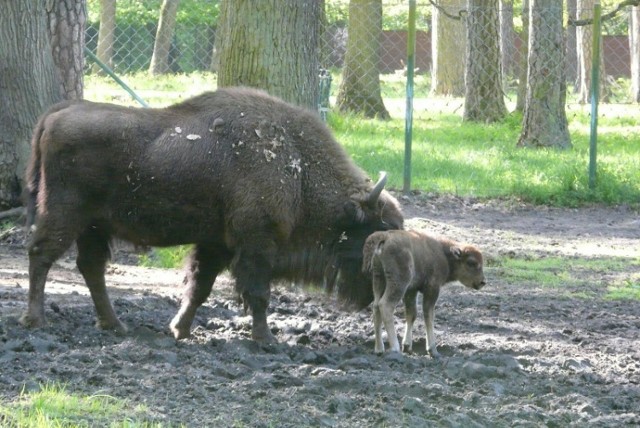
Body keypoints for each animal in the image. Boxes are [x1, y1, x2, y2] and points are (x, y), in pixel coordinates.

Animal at [22, 88, 402, 344]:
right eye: (376, 232)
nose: (380, 295)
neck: (299, 168)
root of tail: (58, 113)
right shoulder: (256, 244)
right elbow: (257, 292)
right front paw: (266, 339)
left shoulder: (216, 244)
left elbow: (199, 287)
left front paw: (179, 329)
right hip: (65, 215)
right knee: (41, 255)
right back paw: (36, 320)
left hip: (94, 226)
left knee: (91, 267)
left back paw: (115, 324)